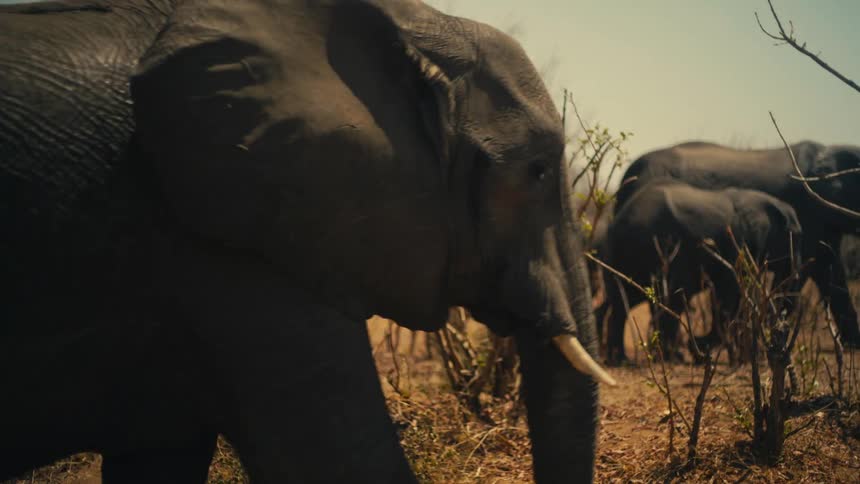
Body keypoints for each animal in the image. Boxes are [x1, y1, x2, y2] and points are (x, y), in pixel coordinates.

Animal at [599, 180, 803, 363]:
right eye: (794, 235)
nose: (694, 343)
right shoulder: (738, 243)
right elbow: (729, 295)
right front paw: (701, 349)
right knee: (659, 300)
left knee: (625, 301)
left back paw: (622, 359)